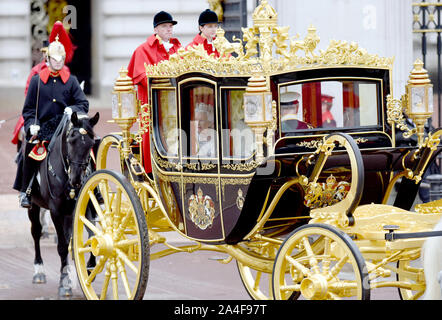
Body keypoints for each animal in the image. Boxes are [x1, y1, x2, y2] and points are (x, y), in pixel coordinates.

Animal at [27, 112, 99, 298]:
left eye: (91, 143)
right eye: (71, 140)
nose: (76, 180)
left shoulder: (85, 207)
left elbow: (90, 237)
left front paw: (89, 269)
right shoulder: (56, 211)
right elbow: (61, 246)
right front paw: (65, 282)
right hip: (34, 206)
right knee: (36, 232)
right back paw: (39, 271)